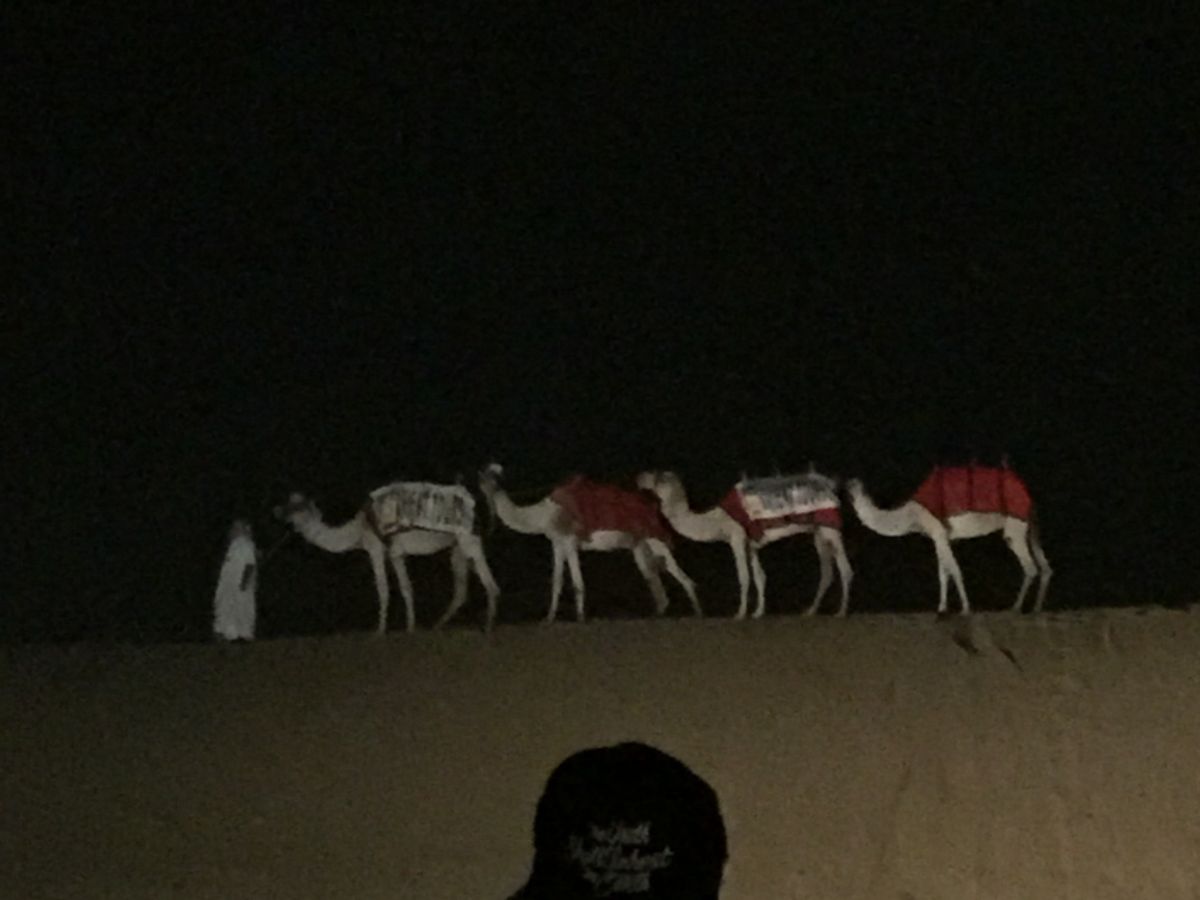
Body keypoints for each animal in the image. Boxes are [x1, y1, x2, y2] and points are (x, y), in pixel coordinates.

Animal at [273, 485, 501, 634]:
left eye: (296, 507)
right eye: (288, 503)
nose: (278, 512)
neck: (358, 531)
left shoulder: (375, 549)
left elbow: (383, 589)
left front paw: (379, 630)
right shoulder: (396, 554)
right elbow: (406, 588)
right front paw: (410, 627)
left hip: (468, 538)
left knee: (489, 581)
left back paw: (488, 625)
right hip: (456, 546)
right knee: (461, 589)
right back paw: (438, 625)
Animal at [477, 463, 702, 623]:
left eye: (485, 483)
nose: (483, 497)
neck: (543, 516)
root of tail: (654, 508)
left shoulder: (570, 541)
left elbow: (577, 582)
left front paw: (580, 618)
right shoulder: (557, 543)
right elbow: (557, 581)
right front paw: (548, 618)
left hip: (654, 538)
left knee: (680, 575)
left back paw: (697, 612)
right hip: (639, 545)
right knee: (653, 579)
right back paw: (659, 614)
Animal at [637, 470, 854, 619]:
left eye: (658, 478)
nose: (639, 478)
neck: (718, 519)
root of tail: (832, 488)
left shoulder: (737, 537)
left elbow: (743, 576)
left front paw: (740, 613)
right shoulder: (750, 544)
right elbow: (760, 577)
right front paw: (758, 612)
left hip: (830, 527)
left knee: (844, 568)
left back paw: (841, 611)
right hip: (818, 532)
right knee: (827, 571)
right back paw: (810, 611)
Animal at [846, 463, 1052, 615]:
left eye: (849, 485)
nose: (844, 484)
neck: (911, 515)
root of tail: (1029, 496)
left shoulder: (938, 531)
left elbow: (954, 570)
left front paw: (966, 609)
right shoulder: (939, 537)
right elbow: (943, 573)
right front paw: (942, 608)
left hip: (1015, 526)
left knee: (1030, 567)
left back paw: (1015, 608)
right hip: (1031, 528)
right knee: (1045, 568)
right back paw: (1036, 609)